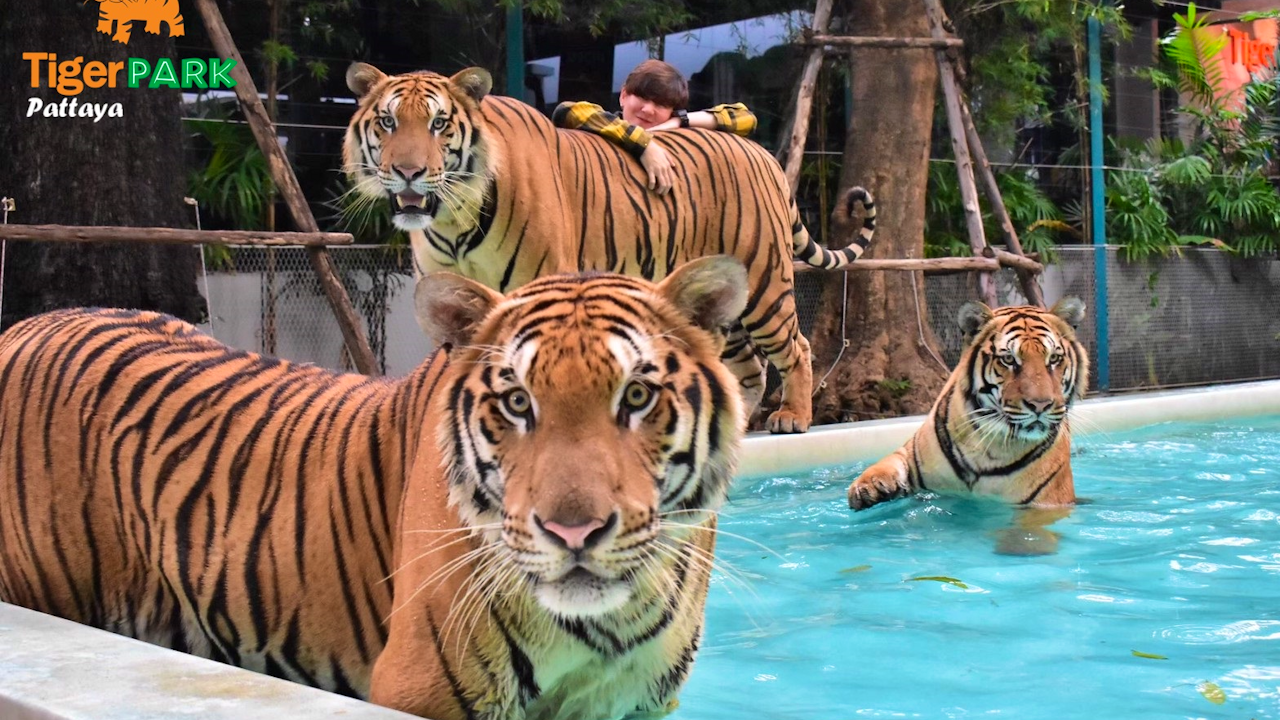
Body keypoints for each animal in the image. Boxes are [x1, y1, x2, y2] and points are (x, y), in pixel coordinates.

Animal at [0, 256, 748, 720]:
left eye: (637, 396)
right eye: (516, 403)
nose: (573, 532)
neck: (606, 626)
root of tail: (25, 325)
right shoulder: (424, 687)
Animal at [341, 63, 878, 434]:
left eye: (438, 125)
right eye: (387, 122)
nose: (408, 172)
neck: (455, 217)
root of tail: (762, 153)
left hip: (764, 279)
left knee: (796, 347)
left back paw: (792, 417)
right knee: (747, 368)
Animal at [846, 298, 1089, 511]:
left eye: (1054, 359)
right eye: (1008, 359)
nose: (1040, 406)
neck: (990, 444)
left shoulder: (1047, 502)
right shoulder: (911, 452)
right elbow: (889, 461)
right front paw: (867, 488)